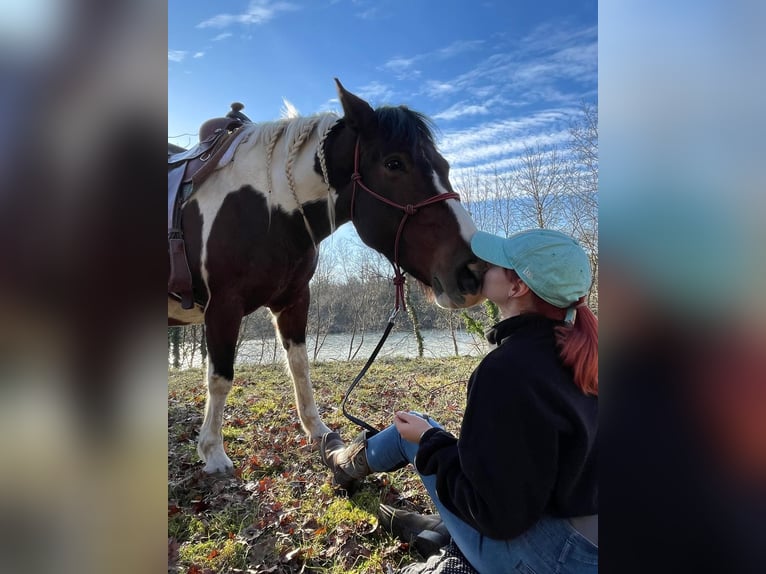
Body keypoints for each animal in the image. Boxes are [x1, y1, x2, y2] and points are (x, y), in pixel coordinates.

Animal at [171, 79, 488, 474]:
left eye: (443, 165)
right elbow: (220, 378)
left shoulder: (293, 301)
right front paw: (213, 451)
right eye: (394, 163)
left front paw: (318, 431)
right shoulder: (223, 307)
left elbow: (300, 367)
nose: (473, 270)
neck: (265, 207)